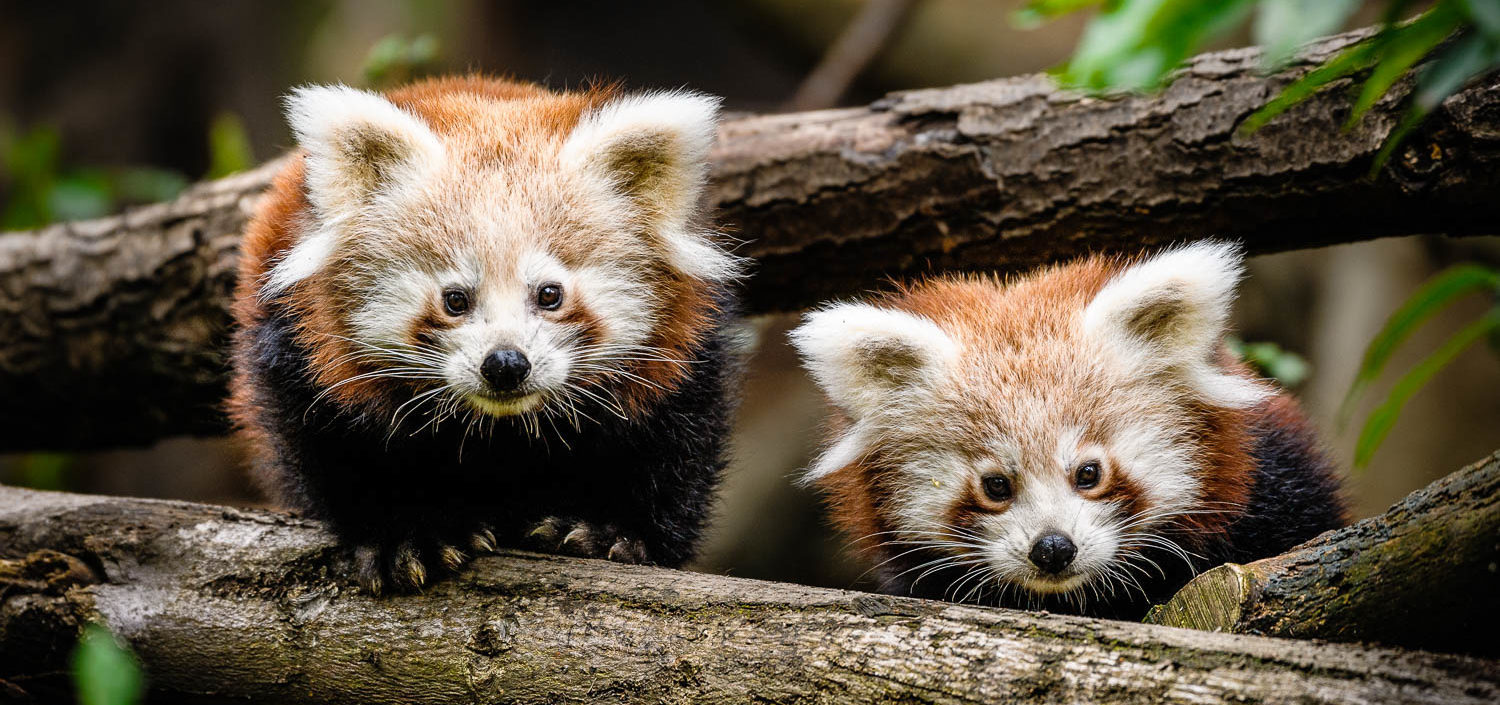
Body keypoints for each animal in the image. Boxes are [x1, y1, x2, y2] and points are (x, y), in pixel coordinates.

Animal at [229, 75, 744, 594]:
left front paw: (612, 531)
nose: (506, 364)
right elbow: (337, 449)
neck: (503, 430)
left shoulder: (683, 353)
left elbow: (673, 451)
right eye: (455, 300)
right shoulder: (301, 345)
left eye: (550, 294)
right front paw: (408, 535)